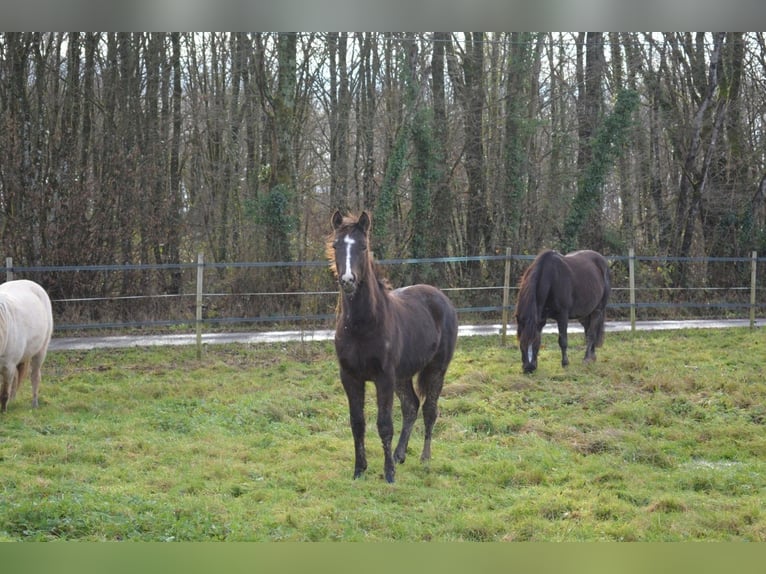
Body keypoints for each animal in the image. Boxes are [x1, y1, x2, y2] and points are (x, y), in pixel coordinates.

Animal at [0, 280, 54, 412]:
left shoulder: (7, 366)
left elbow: (4, 393)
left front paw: (3, 411)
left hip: (40, 352)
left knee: (35, 376)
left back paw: (34, 404)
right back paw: (13, 401)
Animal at [328, 212, 460, 486]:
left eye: (363, 246)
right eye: (336, 246)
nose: (348, 281)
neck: (362, 326)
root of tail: (442, 298)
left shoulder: (384, 378)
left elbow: (384, 424)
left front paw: (388, 474)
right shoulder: (350, 377)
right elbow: (357, 423)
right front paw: (360, 470)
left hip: (436, 369)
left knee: (429, 410)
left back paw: (424, 457)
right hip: (403, 375)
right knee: (411, 406)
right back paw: (400, 454)